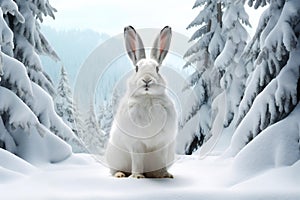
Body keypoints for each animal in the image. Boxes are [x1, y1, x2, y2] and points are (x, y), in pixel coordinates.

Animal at [104, 26, 177, 178]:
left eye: (157, 69)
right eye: (137, 68)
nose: (147, 80)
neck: (148, 98)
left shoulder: (163, 144)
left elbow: (161, 162)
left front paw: (166, 175)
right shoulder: (136, 144)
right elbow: (137, 161)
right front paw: (137, 176)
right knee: (115, 170)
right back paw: (120, 175)